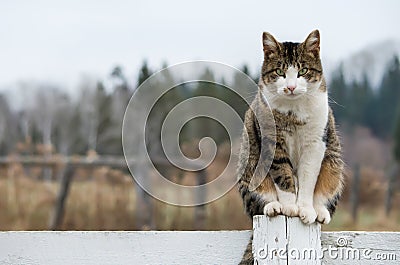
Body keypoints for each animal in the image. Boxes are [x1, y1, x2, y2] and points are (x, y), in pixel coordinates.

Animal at [238, 29, 344, 262]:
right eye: (280, 71)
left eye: (303, 70)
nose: (291, 86)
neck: (294, 112)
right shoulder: (272, 142)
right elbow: (283, 176)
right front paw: (290, 208)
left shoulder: (315, 143)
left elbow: (307, 179)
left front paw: (305, 209)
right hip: (248, 165)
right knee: (256, 205)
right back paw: (273, 207)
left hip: (334, 163)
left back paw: (320, 211)